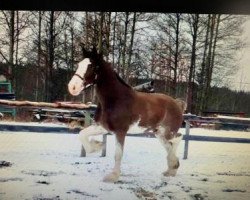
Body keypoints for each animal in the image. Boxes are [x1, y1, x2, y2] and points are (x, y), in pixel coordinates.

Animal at [67, 47, 185, 183]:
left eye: (92, 66)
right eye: (79, 64)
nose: (72, 87)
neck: (115, 99)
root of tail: (177, 103)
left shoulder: (120, 131)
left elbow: (118, 154)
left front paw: (113, 176)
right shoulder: (102, 127)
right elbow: (82, 134)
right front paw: (97, 146)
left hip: (167, 132)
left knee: (177, 139)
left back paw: (173, 167)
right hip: (158, 132)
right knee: (170, 144)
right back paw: (171, 170)